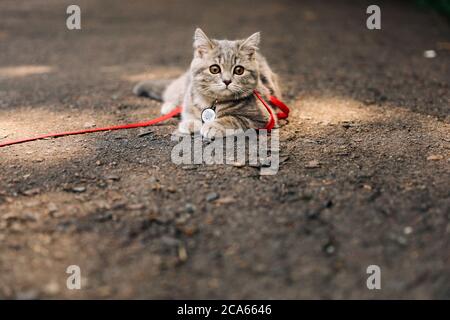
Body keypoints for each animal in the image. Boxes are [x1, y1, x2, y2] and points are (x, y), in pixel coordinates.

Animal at [134, 27, 282, 138]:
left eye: (239, 70)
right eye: (214, 69)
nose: (227, 81)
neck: (212, 101)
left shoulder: (265, 117)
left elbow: (235, 118)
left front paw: (213, 125)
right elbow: (189, 110)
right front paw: (191, 122)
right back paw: (170, 106)